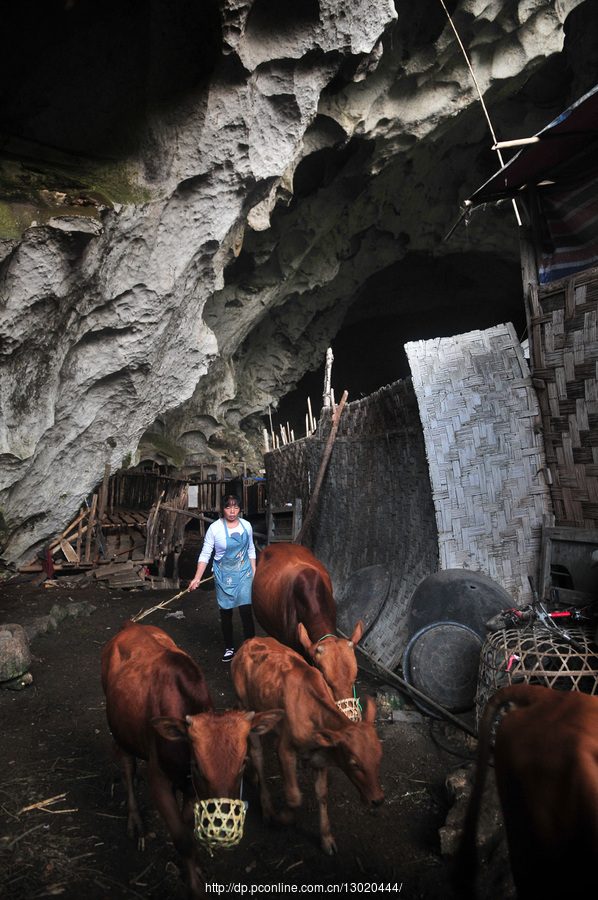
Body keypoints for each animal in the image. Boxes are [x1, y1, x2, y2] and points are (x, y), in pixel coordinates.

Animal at [101, 624, 284, 896]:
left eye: (243, 762)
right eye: (197, 764)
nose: (223, 826)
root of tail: (131, 625)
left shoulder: (193, 788)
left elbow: (188, 822)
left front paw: (196, 866)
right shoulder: (158, 780)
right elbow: (183, 838)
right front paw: (195, 887)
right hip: (121, 733)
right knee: (127, 768)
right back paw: (135, 820)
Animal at [230, 632, 384, 852]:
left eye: (379, 757)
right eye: (354, 763)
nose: (378, 800)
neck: (313, 712)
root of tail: (249, 642)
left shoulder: (321, 755)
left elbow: (322, 795)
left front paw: (326, 838)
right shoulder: (285, 750)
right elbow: (294, 797)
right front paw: (282, 817)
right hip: (246, 706)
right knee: (258, 756)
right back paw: (266, 808)